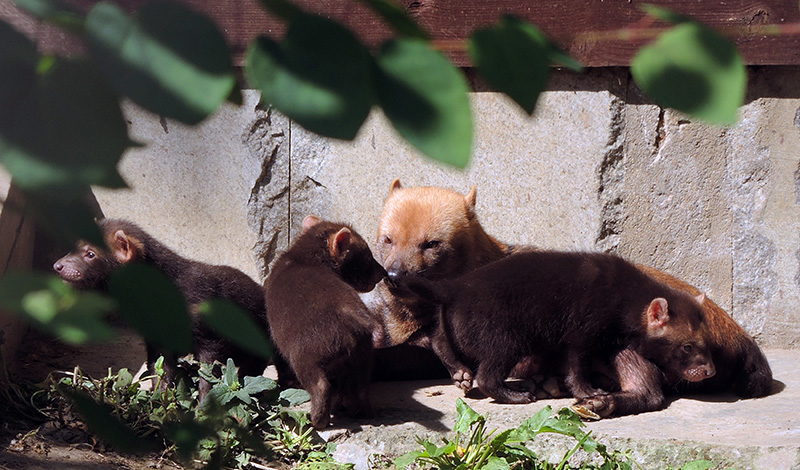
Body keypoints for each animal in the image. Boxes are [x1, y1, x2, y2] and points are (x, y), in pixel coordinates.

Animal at [52, 219, 278, 396]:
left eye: (90, 253)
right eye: (74, 245)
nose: (57, 265)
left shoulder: (210, 334)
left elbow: (208, 375)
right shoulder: (156, 337)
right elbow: (160, 370)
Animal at [264, 215, 386, 428]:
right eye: (367, 256)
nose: (383, 273)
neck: (302, 258)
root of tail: (354, 318)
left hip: (305, 358)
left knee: (321, 387)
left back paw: (317, 420)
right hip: (363, 358)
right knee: (361, 388)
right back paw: (361, 412)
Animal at [410, 250, 716, 414]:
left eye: (708, 340)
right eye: (688, 345)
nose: (710, 371)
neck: (624, 292)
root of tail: (455, 288)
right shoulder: (583, 331)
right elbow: (577, 368)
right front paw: (588, 391)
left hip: (453, 325)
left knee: (439, 341)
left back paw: (461, 373)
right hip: (505, 340)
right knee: (486, 377)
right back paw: (517, 394)